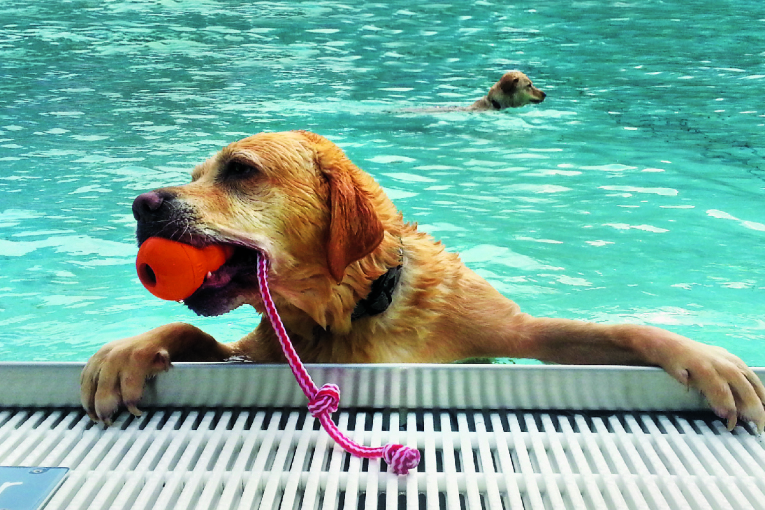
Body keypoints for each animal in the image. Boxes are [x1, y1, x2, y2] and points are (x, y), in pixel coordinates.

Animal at [80, 128, 760, 430]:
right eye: (197, 174)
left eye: (240, 170)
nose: (141, 205)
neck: (359, 307)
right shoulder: (260, 351)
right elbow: (190, 334)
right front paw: (126, 354)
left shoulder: (512, 335)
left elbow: (615, 332)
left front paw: (705, 360)